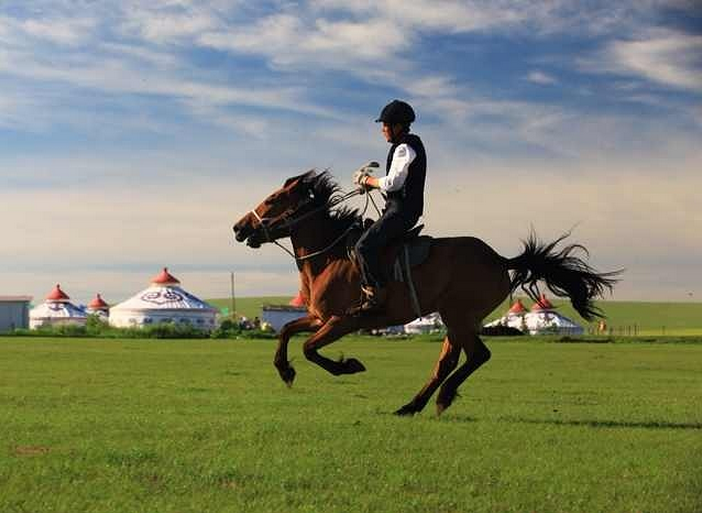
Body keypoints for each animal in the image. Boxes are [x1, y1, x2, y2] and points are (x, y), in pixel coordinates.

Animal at [234, 170, 620, 414]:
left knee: (474, 356)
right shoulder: (319, 317)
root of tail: (500, 259)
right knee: (451, 360)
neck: (330, 256)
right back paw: (414, 404)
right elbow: (286, 331)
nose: (239, 228)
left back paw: (439, 398)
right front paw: (285, 371)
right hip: (456, 321)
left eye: (273, 200)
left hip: (458, 316)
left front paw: (350, 366)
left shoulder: (342, 321)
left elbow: (309, 348)